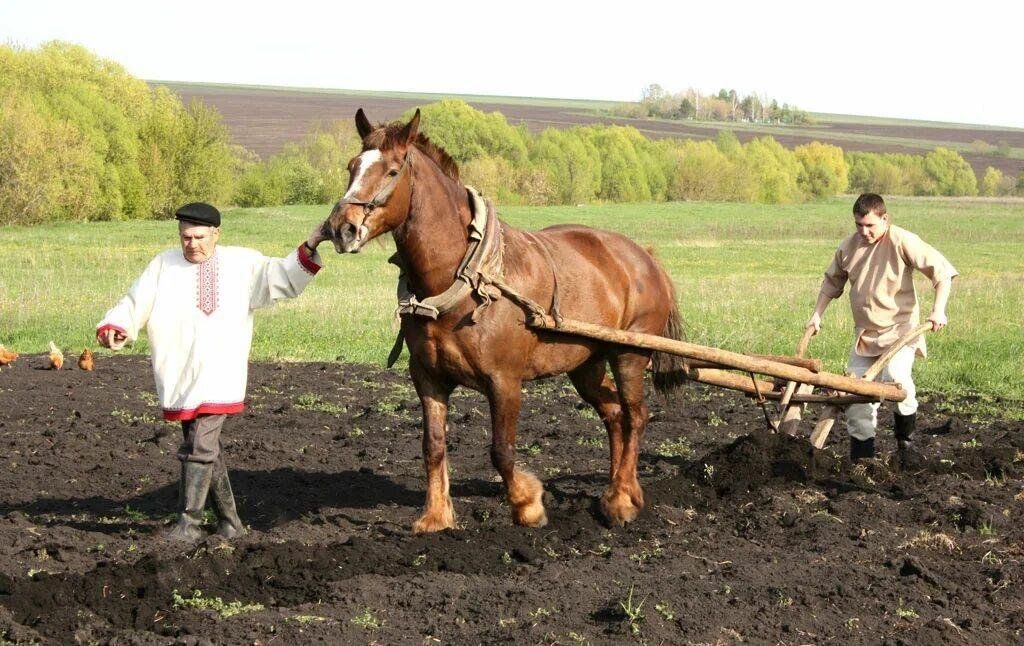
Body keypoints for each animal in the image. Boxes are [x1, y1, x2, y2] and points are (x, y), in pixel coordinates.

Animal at [323, 108, 684, 532]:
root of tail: (644, 257)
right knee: (613, 414)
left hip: (629, 353)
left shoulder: (504, 381)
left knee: (636, 415)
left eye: (393, 171)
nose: (341, 228)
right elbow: (433, 446)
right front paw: (435, 516)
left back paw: (623, 500)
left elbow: (502, 450)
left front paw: (527, 505)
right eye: (351, 166)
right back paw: (617, 492)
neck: (466, 278)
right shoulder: (428, 377)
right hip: (586, 363)